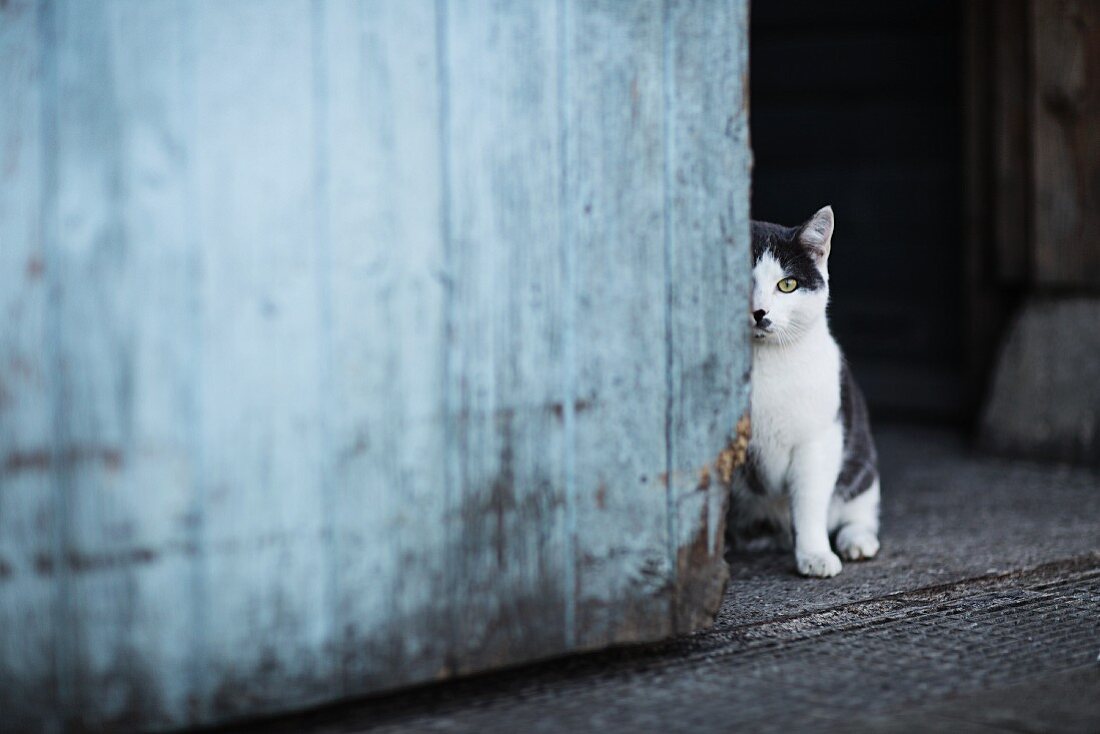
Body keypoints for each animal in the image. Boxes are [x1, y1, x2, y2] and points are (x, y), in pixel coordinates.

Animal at [726, 206, 880, 581]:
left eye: (787, 284)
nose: (759, 312)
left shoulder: (819, 439)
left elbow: (810, 502)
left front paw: (816, 556)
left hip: (861, 463)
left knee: (859, 508)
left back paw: (857, 541)